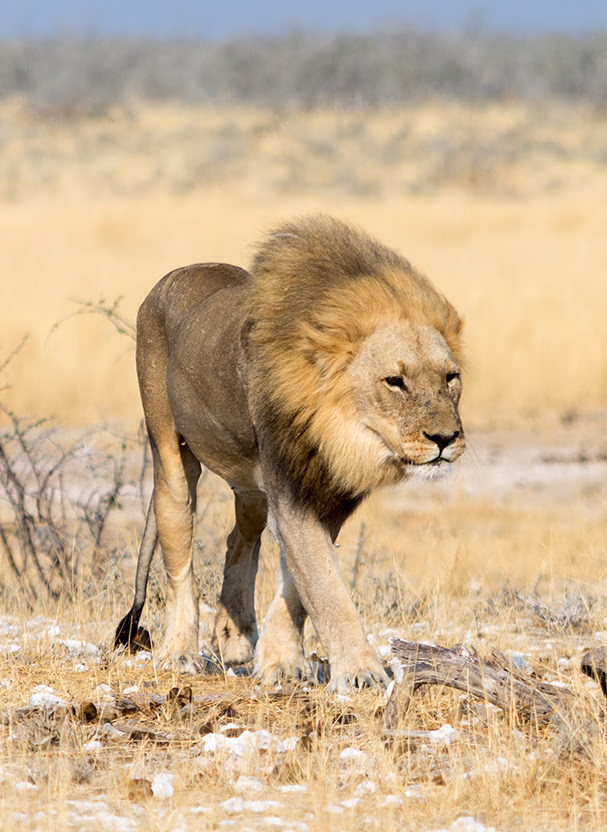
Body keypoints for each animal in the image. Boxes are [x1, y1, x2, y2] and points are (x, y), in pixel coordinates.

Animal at [114, 215, 465, 692]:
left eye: (451, 377)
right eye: (395, 381)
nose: (447, 438)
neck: (344, 432)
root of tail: (175, 274)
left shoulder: (330, 494)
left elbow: (298, 585)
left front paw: (281, 662)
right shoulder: (290, 487)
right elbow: (324, 585)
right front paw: (360, 673)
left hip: (250, 485)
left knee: (240, 536)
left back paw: (235, 634)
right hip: (170, 452)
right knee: (179, 551)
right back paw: (180, 652)